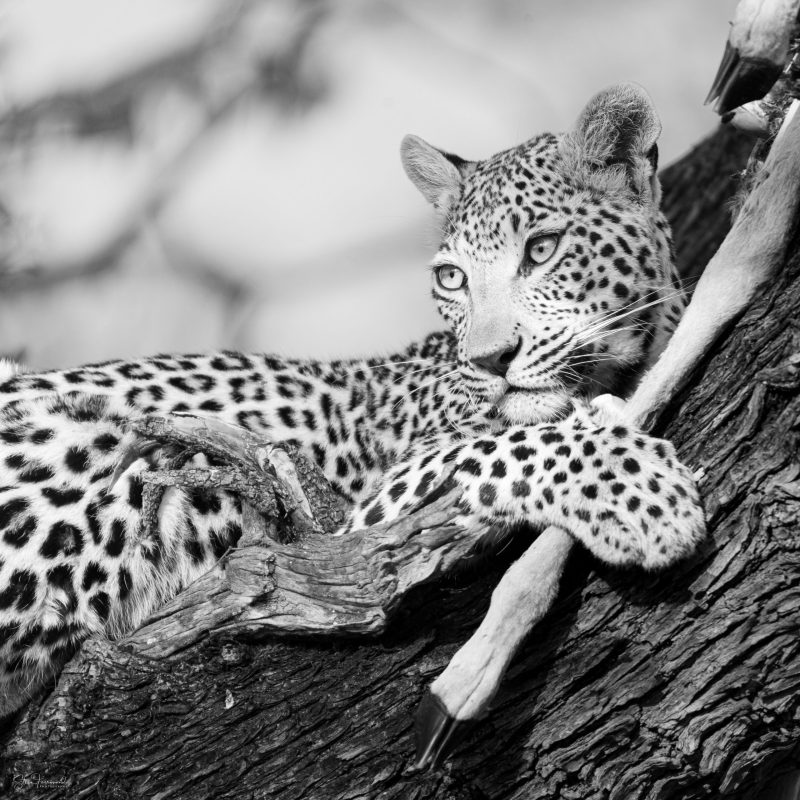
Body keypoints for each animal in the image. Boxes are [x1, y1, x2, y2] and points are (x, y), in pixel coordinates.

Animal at [0, 83, 704, 718]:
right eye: (453, 278)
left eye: (542, 249)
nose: (489, 360)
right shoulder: (354, 527)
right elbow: (505, 444)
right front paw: (641, 496)